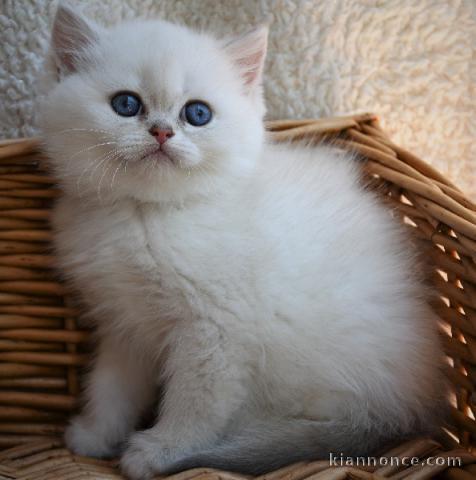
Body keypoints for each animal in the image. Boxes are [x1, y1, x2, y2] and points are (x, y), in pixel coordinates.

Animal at [41, 4, 446, 480]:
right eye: (126, 104)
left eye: (197, 114)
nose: (161, 132)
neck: (147, 215)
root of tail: (403, 414)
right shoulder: (125, 323)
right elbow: (112, 387)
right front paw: (95, 436)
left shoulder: (216, 332)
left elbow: (196, 404)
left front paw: (161, 451)